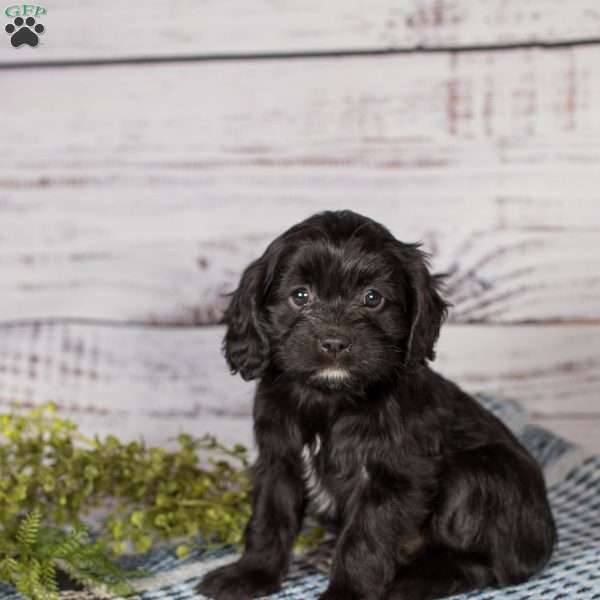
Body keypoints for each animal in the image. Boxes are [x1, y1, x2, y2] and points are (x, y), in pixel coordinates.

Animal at [198, 211, 556, 600]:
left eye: (373, 298)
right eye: (300, 295)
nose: (334, 342)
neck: (330, 398)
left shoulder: (392, 476)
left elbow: (364, 540)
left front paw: (345, 594)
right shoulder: (279, 460)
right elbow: (269, 517)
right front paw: (251, 573)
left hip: (480, 475)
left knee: (485, 564)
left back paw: (411, 581)